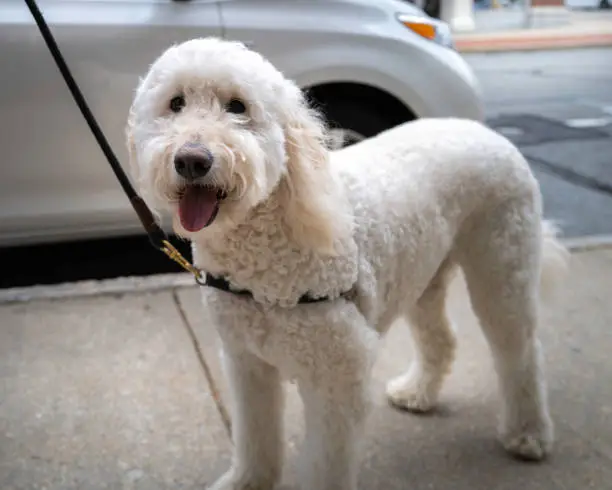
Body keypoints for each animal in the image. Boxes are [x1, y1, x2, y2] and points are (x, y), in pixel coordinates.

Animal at [126, 36, 572, 488]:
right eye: (176, 103)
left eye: (238, 106)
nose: (191, 160)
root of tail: (485, 130)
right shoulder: (247, 362)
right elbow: (255, 436)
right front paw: (246, 481)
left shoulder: (338, 374)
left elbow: (327, 464)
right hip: (422, 272)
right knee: (441, 339)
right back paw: (417, 393)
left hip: (502, 264)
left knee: (520, 351)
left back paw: (529, 434)